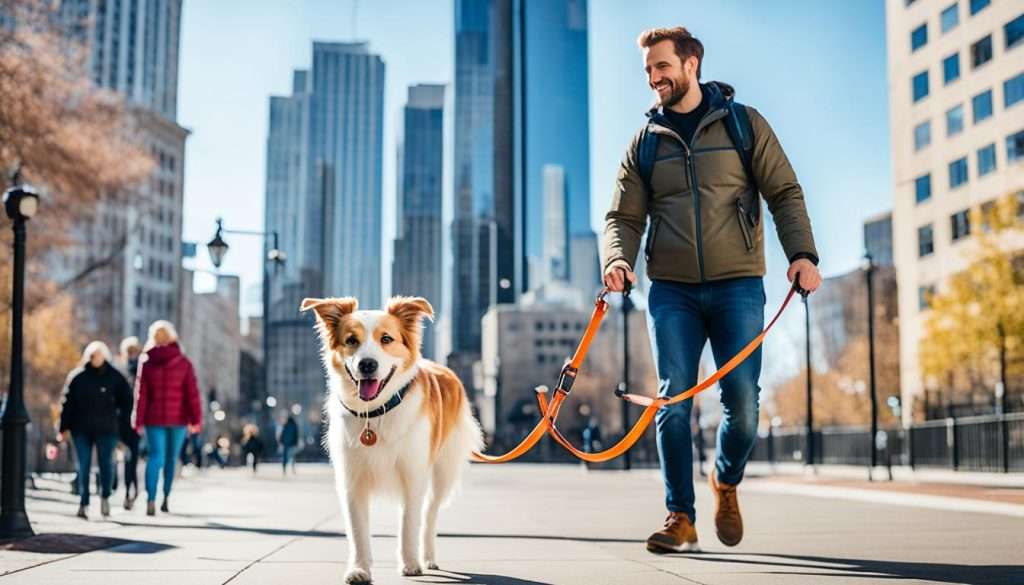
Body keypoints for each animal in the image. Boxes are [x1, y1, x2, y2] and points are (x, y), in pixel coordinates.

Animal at [299, 297, 483, 585]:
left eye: (386, 338)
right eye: (351, 340)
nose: (367, 365)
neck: (376, 413)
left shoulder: (414, 474)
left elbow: (409, 524)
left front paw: (410, 564)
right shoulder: (352, 480)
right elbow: (358, 530)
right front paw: (360, 569)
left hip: (443, 472)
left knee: (429, 514)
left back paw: (427, 556)